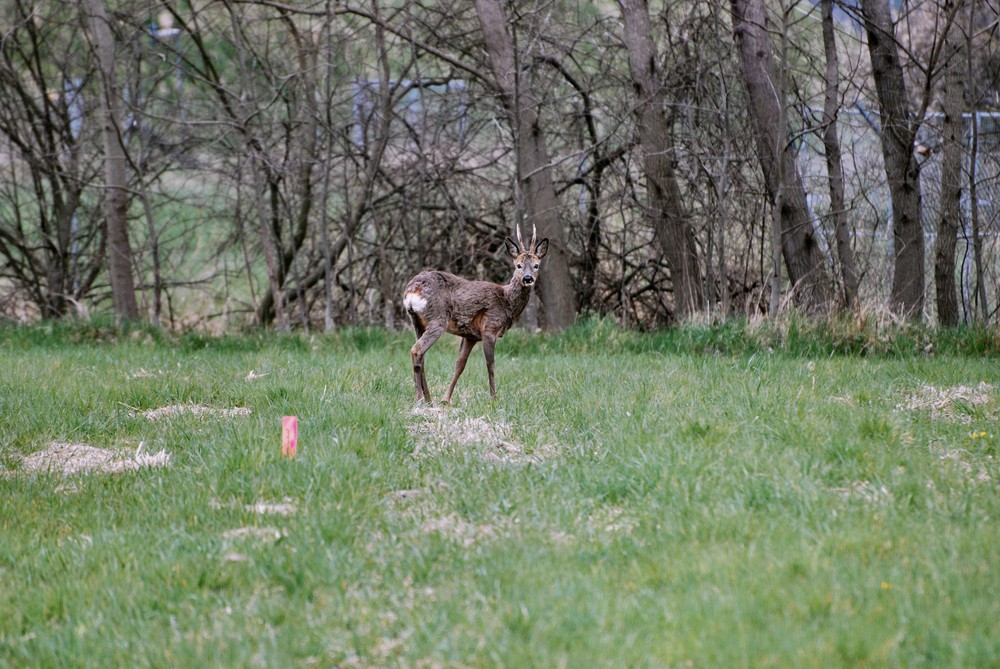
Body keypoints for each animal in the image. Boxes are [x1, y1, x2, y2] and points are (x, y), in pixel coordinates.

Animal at [402, 223, 552, 402]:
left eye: (536, 265)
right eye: (518, 265)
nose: (528, 278)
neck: (506, 301)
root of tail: (412, 290)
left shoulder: (470, 336)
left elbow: (460, 365)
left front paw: (446, 399)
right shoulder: (489, 328)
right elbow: (490, 365)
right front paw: (494, 398)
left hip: (417, 322)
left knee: (421, 355)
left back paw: (429, 399)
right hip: (438, 319)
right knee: (416, 350)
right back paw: (419, 398)